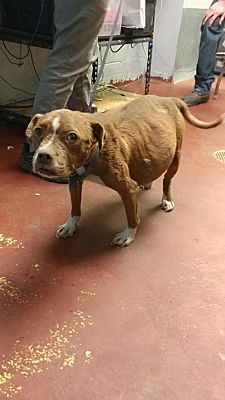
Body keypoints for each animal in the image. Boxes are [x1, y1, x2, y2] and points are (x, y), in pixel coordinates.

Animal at [25, 96, 224, 247]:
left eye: (72, 136)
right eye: (38, 131)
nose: (43, 156)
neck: (96, 150)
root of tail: (169, 99)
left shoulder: (127, 188)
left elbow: (132, 215)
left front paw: (128, 235)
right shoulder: (74, 182)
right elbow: (75, 208)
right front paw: (70, 226)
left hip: (176, 158)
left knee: (167, 180)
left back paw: (167, 199)